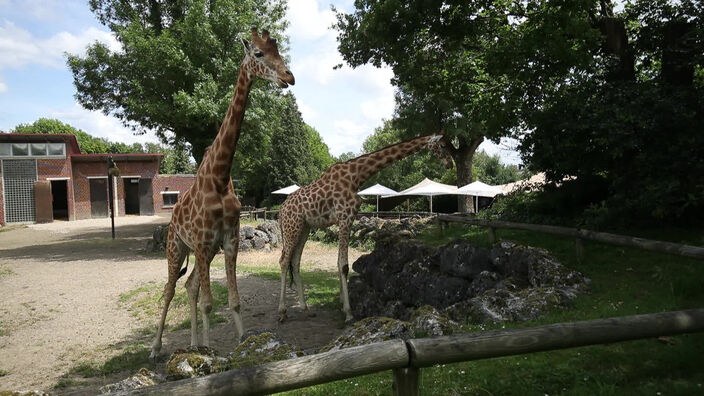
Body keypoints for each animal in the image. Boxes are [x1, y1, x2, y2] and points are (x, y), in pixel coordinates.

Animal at [150, 26, 296, 358]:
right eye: (258, 53)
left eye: (280, 52)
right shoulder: (204, 242)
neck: (219, 176)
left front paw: (241, 345)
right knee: (170, 288)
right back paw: (156, 348)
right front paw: (209, 352)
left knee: (189, 286)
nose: (289, 76)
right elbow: (208, 303)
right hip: (177, 247)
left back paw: (192, 344)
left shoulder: (228, 241)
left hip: (202, 251)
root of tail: (172, 217)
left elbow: (233, 300)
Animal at [276, 133, 452, 322]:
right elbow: (343, 265)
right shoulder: (345, 217)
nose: (450, 164)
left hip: (304, 228)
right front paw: (348, 313)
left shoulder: (348, 219)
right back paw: (282, 311)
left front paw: (342, 305)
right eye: (442, 145)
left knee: (295, 261)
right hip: (292, 226)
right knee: (284, 261)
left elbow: (339, 263)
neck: (356, 176)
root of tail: (281, 210)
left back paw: (305, 308)